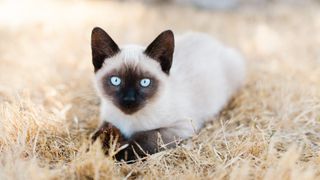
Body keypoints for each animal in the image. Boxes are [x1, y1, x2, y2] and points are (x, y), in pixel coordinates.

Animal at [90, 27, 245, 162]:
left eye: (144, 82)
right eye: (115, 81)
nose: (129, 100)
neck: (128, 122)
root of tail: (211, 39)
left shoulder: (180, 127)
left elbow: (146, 138)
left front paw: (119, 154)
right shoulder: (107, 119)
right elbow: (99, 133)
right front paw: (100, 145)